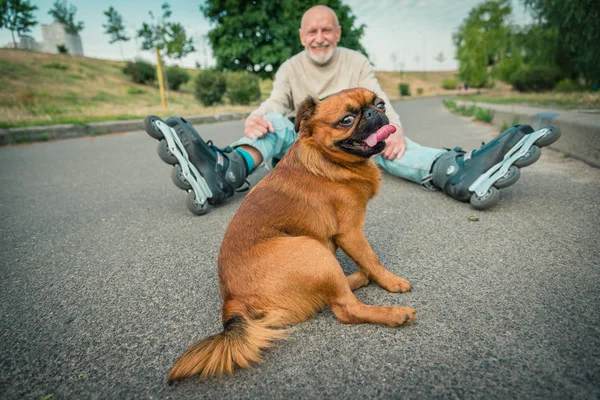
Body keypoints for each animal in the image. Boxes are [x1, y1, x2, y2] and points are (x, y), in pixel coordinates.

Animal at [166, 88, 414, 384]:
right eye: (346, 119)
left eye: (380, 104)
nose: (373, 112)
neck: (326, 158)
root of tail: (231, 299)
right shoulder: (351, 232)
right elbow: (372, 259)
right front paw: (391, 281)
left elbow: (367, 261)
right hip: (312, 250)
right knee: (345, 308)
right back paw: (395, 314)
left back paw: (358, 278)